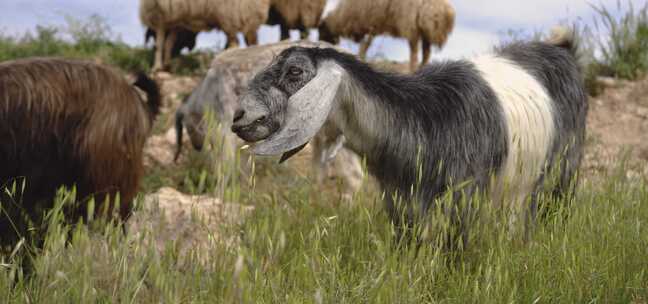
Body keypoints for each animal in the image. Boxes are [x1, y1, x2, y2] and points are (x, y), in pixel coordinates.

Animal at [175, 39, 362, 198]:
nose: (197, 146)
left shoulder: (225, 129)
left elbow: (224, 168)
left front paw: (218, 196)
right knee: (321, 170)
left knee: (354, 175)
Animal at [232, 27, 588, 247]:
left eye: (295, 71)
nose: (239, 117)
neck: (423, 118)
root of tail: (564, 50)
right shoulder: (400, 200)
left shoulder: (464, 196)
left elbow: (455, 249)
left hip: (564, 164)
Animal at [318, 0, 456, 71]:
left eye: (321, 30)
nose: (319, 41)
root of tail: (444, 10)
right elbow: (366, 45)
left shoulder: (370, 23)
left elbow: (365, 46)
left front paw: (361, 57)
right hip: (425, 32)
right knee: (426, 54)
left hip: (411, 27)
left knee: (414, 55)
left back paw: (413, 70)